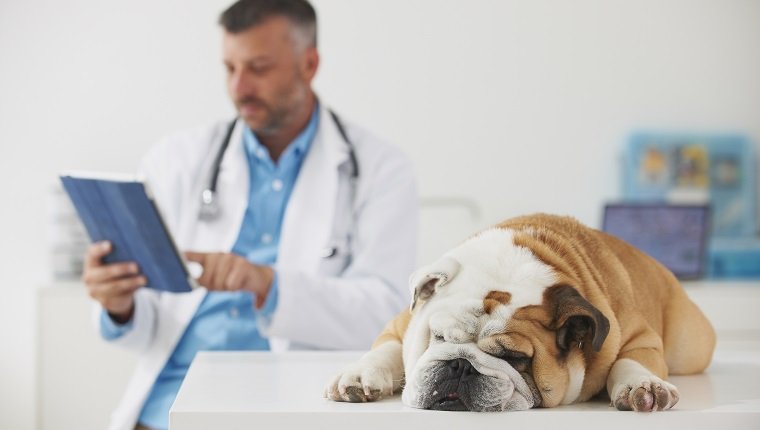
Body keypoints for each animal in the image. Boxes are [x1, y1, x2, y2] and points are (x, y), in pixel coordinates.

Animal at [324, 213, 716, 412]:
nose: (459, 365)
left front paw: (642, 386)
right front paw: (358, 377)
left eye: (515, 359)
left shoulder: (638, 335)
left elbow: (632, 360)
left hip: (689, 347)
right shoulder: (401, 322)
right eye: (438, 338)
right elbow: (386, 350)